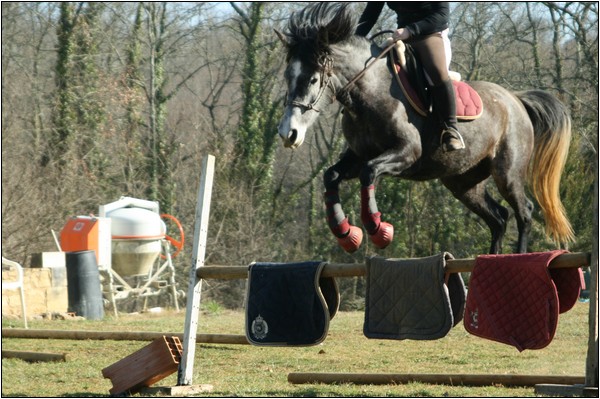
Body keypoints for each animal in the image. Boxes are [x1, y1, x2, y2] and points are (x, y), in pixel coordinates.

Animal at [276, 3, 572, 255]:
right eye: (288, 77)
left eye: (313, 79)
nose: (288, 134)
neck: (370, 94)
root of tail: (516, 100)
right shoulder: (357, 156)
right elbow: (332, 176)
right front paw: (347, 234)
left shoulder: (407, 152)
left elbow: (368, 172)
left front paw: (378, 230)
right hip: (463, 182)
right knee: (498, 218)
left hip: (507, 172)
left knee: (524, 212)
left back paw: (518, 257)